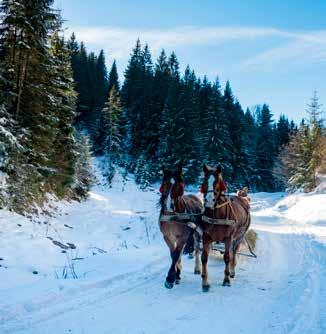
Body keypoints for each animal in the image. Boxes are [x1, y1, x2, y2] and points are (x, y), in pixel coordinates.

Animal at [200, 164, 251, 292]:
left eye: (217, 182)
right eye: (204, 181)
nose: (209, 200)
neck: (217, 214)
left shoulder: (229, 238)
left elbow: (227, 257)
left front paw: (226, 280)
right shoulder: (206, 237)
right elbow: (204, 258)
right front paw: (205, 283)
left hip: (239, 236)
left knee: (234, 251)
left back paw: (232, 271)